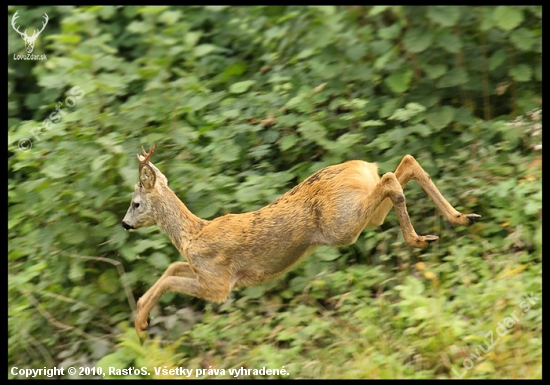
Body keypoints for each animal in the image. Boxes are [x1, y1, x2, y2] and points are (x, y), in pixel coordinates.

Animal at [123, 144, 480, 340]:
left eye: (136, 203)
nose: (125, 224)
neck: (192, 233)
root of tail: (360, 167)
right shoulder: (201, 270)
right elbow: (171, 268)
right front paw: (142, 317)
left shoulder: (219, 284)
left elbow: (169, 281)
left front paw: (140, 323)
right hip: (365, 217)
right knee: (404, 165)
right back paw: (462, 218)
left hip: (343, 225)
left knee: (392, 179)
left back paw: (420, 238)